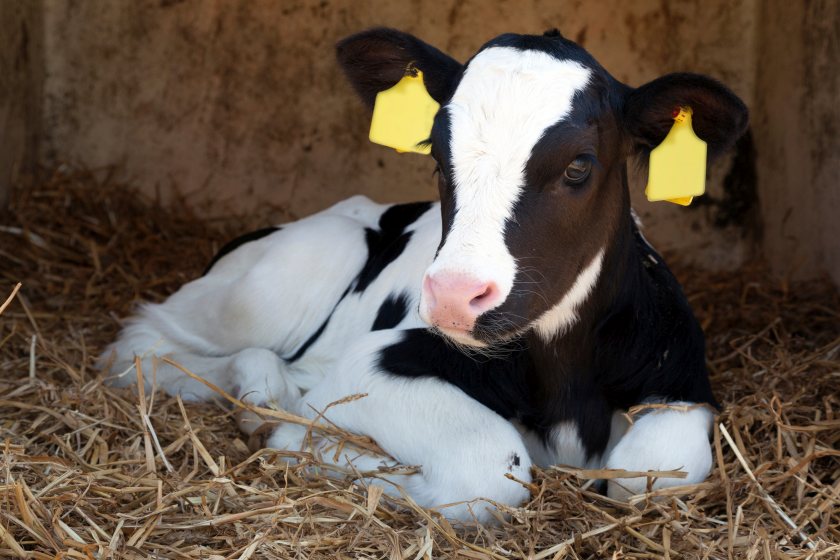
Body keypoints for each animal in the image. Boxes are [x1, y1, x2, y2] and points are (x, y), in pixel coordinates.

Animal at [100, 28, 748, 523]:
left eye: (578, 166)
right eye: (438, 156)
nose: (456, 296)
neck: (565, 383)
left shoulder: (682, 384)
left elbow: (649, 472)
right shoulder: (374, 363)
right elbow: (491, 465)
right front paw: (305, 442)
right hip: (283, 276)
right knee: (141, 344)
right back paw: (261, 400)